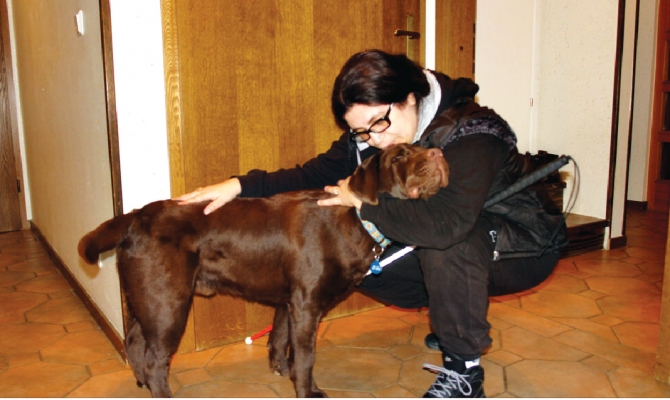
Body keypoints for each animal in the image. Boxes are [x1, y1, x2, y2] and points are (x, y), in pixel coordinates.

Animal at [78, 143, 449, 397]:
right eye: (398, 157)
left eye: (420, 146)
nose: (437, 152)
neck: (355, 216)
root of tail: (136, 215)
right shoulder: (306, 305)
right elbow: (306, 357)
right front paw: (308, 390)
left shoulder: (289, 301)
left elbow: (280, 340)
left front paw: (282, 370)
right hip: (169, 303)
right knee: (155, 359)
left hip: (151, 300)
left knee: (134, 341)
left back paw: (141, 382)